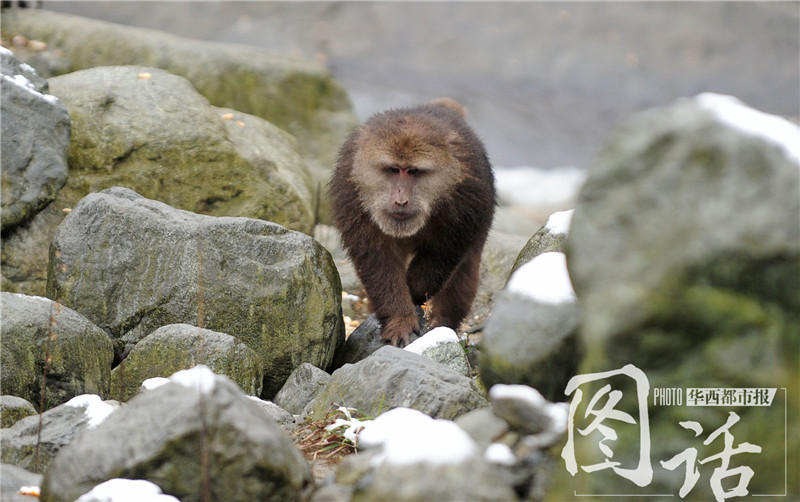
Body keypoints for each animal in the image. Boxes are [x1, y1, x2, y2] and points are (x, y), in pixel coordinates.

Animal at [326, 99, 494, 348]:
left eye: (414, 171)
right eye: (394, 170)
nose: (401, 200)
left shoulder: (465, 199)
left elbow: (443, 253)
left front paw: (414, 289)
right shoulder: (354, 199)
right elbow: (377, 261)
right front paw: (399, 319)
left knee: (464, 274)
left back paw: (442, 323)